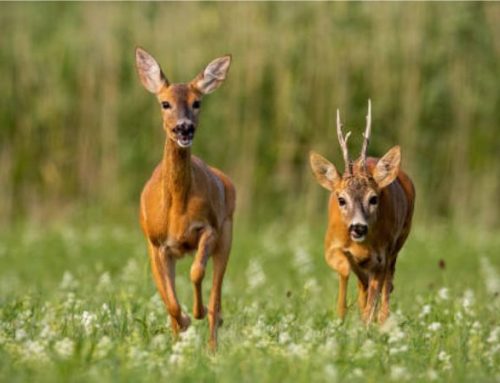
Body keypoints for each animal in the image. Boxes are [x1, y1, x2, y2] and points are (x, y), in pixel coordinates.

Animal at [136, 48, 235, 352]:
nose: (184, 128)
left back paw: (212, 345)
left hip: (227, 234)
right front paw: (184, 321)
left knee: (216, 298)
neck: (177, 208)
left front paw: (196, 312)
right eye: (165, 103)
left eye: (197, 102)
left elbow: (196, 272)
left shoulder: (210, 228)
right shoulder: (156, 243)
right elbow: (168, 301)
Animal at [310, 101, 416, 324]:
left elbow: (376, 291)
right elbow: (345, 269)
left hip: (398, 242)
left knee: (387, 282)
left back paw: (382, 321)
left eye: (373, 198)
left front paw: (365, 323)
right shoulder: (330, 245)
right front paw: (340, 315)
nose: (358, 227)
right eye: (341, 199)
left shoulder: (381, 255)